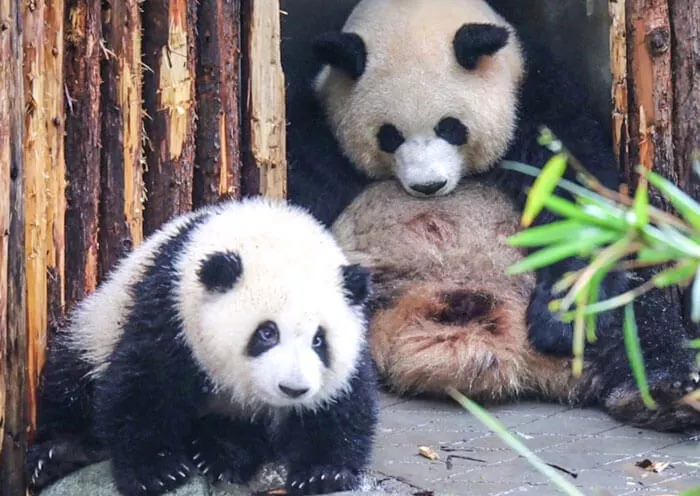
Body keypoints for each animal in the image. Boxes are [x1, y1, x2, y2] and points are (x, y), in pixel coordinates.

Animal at [27, 197, 379, 496]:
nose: (293, 389)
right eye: (267, 333)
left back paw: (220, 452)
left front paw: (323, 474)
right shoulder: (171, 306)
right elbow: (144, 382)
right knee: (70, 381)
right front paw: (157, 471)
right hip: (94, 325)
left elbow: (343, 403)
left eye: (319, 340)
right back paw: (58, 453)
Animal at [285, 0, 700, 431]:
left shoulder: (536, 101)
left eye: (451, 127)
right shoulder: (319, 127)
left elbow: (576, 197)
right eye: (389, 135)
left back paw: (663, 394)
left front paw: (560, 323)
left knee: (636, 309)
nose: (428, 186)